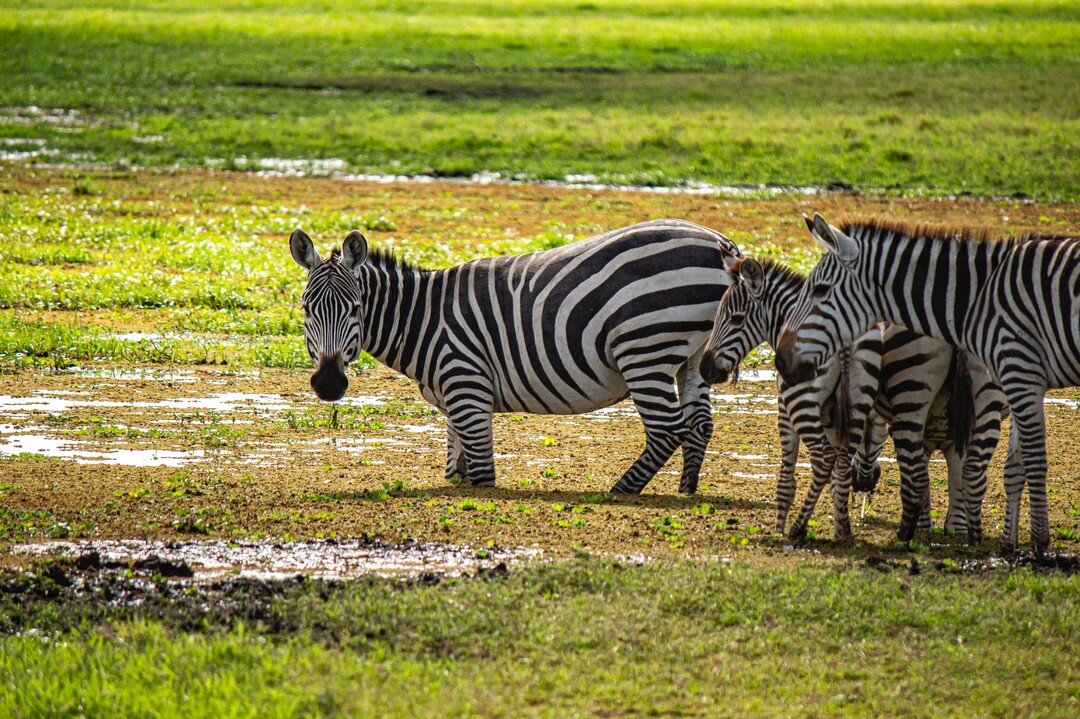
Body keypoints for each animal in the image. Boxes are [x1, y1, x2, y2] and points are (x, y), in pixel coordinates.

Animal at [287, 218, 743, 492]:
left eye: (354, 309)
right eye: (306, 309)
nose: (328, 383)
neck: (424, 318)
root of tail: (722, 243)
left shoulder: (468, 388)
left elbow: (483, 476)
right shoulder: (456, 400)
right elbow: (458, 471)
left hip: (645, 349)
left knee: (668, 429)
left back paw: (620, 490)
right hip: (691, 358)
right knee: (700, 425)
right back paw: (687, 490)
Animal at [695, 258, 881, 537]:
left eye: (737, 319)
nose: (705, 371)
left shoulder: (784, 408)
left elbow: (786, 480)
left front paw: (779, 528)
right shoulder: (832, 415)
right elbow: (837, 477)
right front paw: (841, 526)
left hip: (800, 401)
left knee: (823, 460)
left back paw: (797, 527)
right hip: (858, 402)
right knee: (842, 462)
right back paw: (840, 533)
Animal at [773, 213, 1075, 552]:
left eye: (821, 289)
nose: (781, 360)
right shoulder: (1020, 384)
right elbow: (981, 466)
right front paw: (962, 529)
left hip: (914, 396)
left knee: (914, 468)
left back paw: (904, 534)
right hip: (984, 399)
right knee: (973, 470)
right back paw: (974, 538)